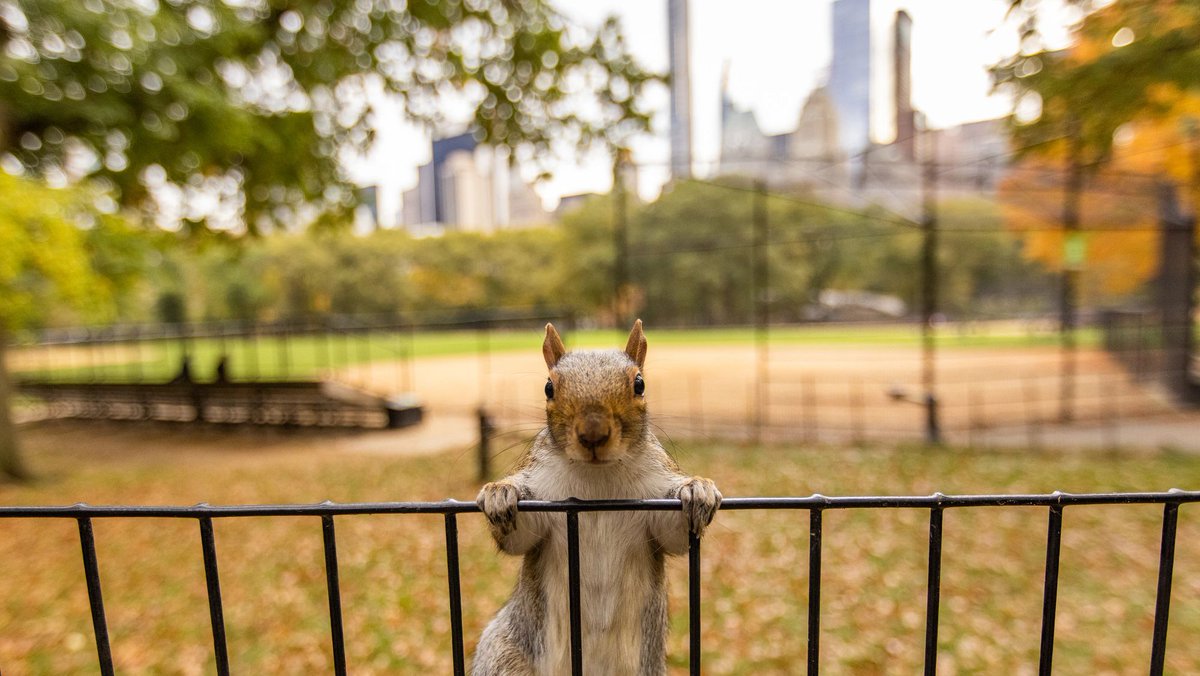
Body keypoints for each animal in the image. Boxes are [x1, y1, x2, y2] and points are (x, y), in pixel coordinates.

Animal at [472, 320, 722, 676]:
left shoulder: (655, 505)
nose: (592, 434)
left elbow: (674, 535)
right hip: (505, 658)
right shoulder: (542, 498)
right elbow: (519, 538)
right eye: (548, 388)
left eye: (640, 384)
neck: (597, 480)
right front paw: (500, 493)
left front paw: (697, 489)